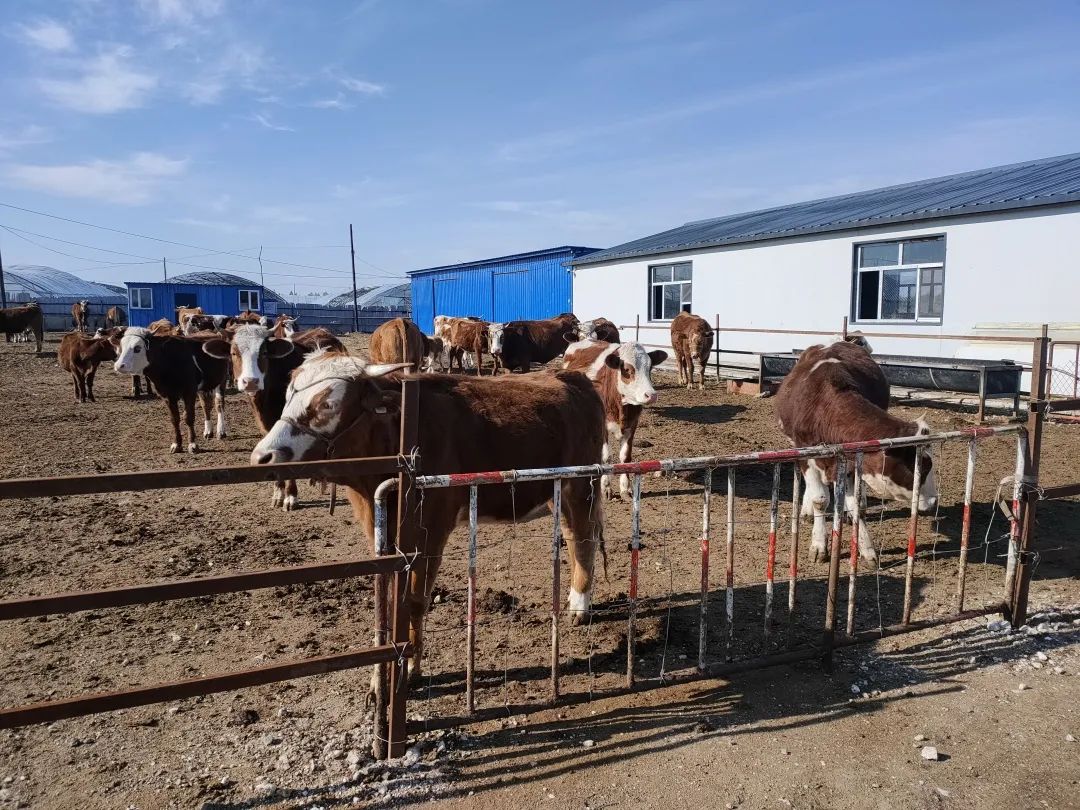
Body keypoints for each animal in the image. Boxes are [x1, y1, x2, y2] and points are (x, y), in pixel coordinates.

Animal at [250, 354, 609, 678]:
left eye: (328, 405)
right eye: (288, 395)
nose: (262, 456)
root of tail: (571, 376)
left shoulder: (431, 527)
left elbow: (415, 598)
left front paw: (409, 665)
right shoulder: (378, 527)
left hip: (581, 488)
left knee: (583, 541)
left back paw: (579, 605)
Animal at [565, 336, 665, 501]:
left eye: (650, 368)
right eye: (627, 369)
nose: (651, 395)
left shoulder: (633, 424)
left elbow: (625, 457)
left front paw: (626, 489)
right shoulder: (603, 425)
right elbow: (606, 457)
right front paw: (606, 488)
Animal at [773, 341, 941, 565]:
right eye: (923, 464)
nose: (934, 501)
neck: (825, 407)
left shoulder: (854, 461)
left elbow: (856, 505)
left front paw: (866, 548)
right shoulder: (806, 454)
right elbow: (820, 499)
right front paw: (818, 544)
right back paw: (808, 510)